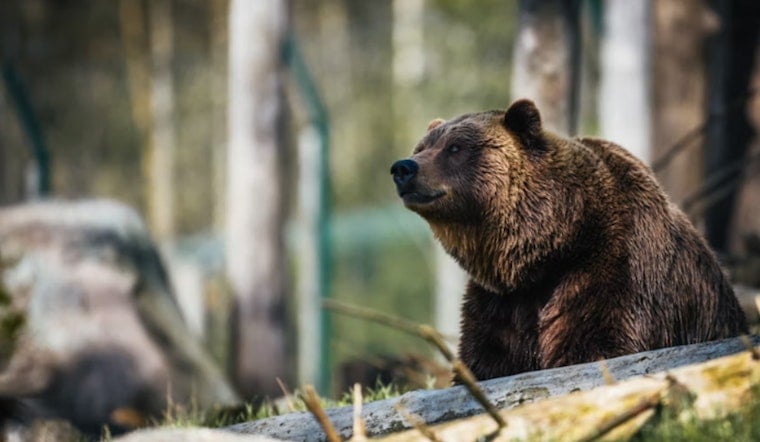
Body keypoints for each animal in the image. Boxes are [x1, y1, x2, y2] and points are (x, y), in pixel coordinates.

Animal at [390, 99, 748, 381]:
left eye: (455, 148)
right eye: (421, 148)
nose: (403, 167)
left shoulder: (614, 268)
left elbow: (596, 344)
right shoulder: (501, 302)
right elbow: (487, 359)